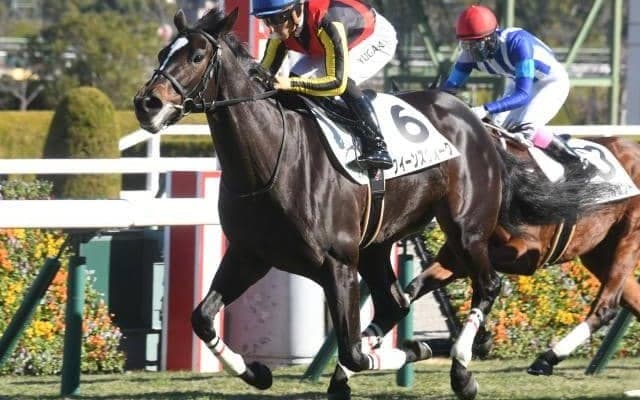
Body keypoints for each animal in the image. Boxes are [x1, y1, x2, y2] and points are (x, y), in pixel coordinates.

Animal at [133, 7, 612, 400]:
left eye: (197, 56)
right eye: (162, 51)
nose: (147, 103)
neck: (271, 158)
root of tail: (476, 121)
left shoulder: (337, 264)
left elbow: (354, 350)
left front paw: (412, 350)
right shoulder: (251, 254)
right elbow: (202, 317)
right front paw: (257, 372)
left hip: (465, 229)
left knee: (487, 285)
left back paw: (460, 370)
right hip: (378, 243)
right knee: (396, 302)